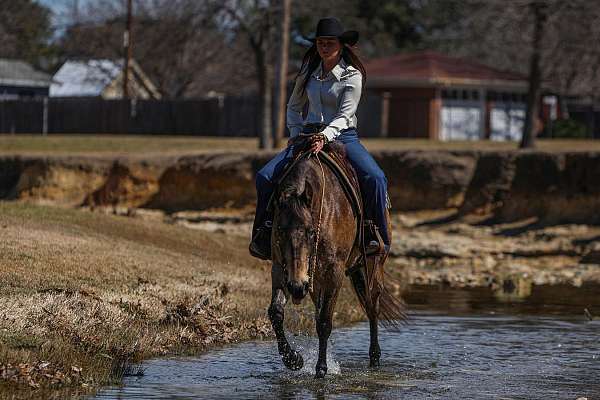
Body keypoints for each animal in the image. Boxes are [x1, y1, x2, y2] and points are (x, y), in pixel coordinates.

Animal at [268, 138, 406, 378]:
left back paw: (375, 358)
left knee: (372, 306)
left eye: (311, 231)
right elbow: (276, 313)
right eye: (279, 231)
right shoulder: (280, 266)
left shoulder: (335, 270)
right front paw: (293, 359)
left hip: (372, 266)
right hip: (316, 279)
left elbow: (324, 321)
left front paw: (321, 369)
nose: (296, 287)